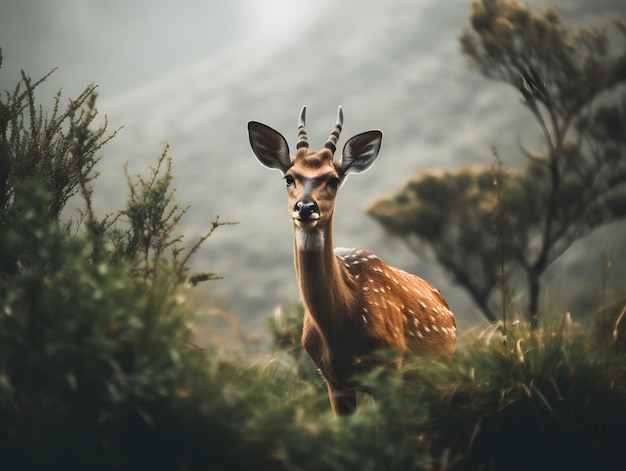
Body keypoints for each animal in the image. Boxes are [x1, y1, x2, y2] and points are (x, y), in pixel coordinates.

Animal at [246, 108, 456, 416]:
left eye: (333, 179)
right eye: (288, 178)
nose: (305, 207)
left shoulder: (389, 368)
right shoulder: (333, 381)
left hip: (440, 371)